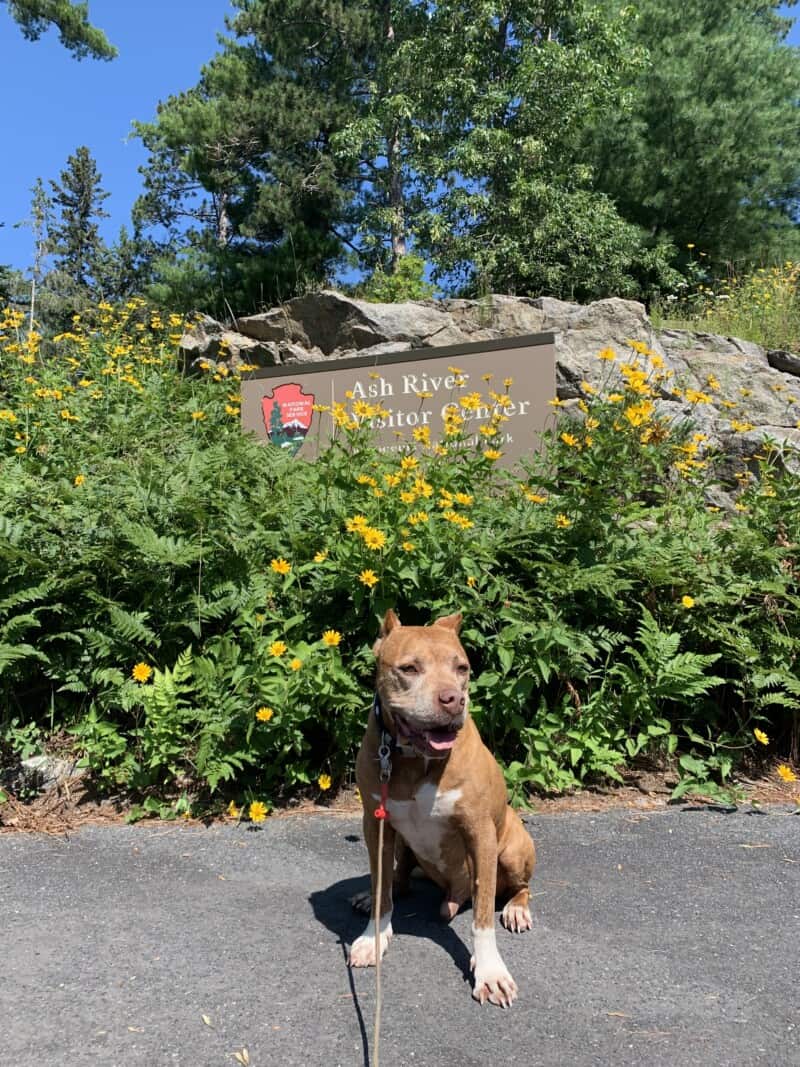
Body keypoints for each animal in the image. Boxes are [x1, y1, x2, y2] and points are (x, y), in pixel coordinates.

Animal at [347, 614, 535, 1002]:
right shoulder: (376, 823)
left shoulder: (480, 832)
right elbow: (381, 888)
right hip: (401, 842)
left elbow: (483, 914)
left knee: (517, 887)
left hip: (512, 848)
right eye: (409, 668)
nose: (453, 699)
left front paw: (490, 970)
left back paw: (516, 910)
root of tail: (453, 893)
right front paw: (373, 937)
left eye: (462, 667)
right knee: (397, 877)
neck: (413, 758)